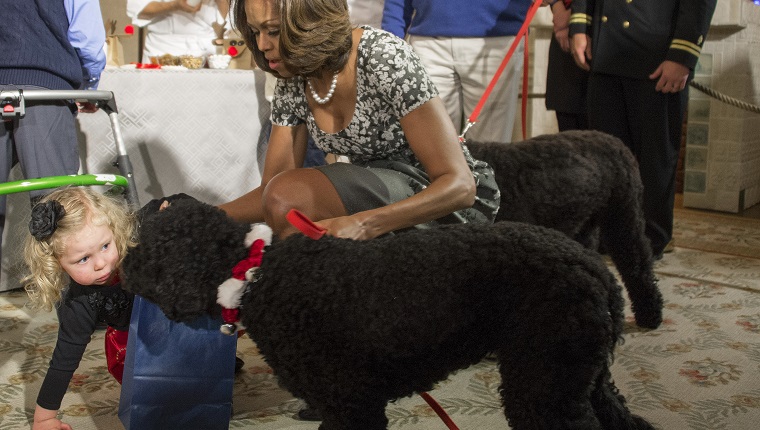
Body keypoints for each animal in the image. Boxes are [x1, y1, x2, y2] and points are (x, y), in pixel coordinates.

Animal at [123, 199, 652, 430]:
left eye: (147, 249)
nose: (121, 266)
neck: (256, 273)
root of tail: (595, 268)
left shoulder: (350, 405)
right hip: (583, 377)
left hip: (543, 381)